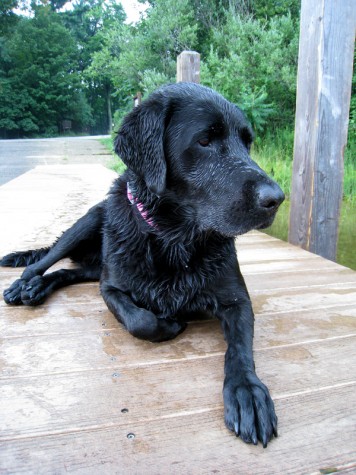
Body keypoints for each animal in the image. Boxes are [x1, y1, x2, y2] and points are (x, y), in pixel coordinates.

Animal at [0, 83, 284, 448]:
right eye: (205, 140)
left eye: (247, 142)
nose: (276, 198)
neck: (174, 241)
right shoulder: (112, 289)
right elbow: (141, 321)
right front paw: (169, 323)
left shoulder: (237, 301)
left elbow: (240, 350)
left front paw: (247, 391)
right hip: (86, 223)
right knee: (44, 259)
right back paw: (25, 285)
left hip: (96, 262)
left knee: (68, 272)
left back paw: (38, 288)